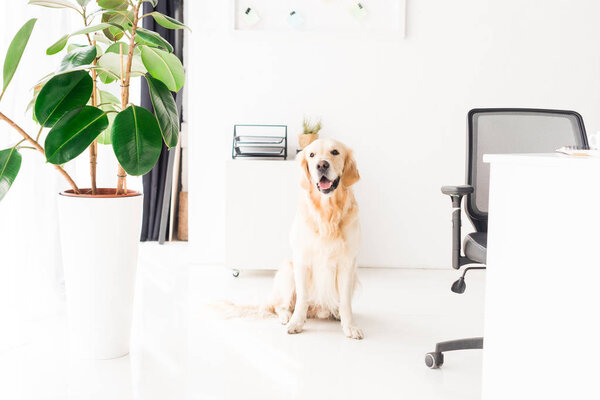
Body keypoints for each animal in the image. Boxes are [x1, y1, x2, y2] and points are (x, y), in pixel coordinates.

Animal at [270, 139, 364, 340]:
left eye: (335, 152)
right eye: (311, 155)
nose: (322, 165)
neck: (328, 212)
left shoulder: (348, 264)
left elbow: (345, 301)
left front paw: (350, 326)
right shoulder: (302, 261)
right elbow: (302, 298)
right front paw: (296, 323)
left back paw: (335, 313)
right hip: (288, 270)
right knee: (279, 305)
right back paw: (286, 316)